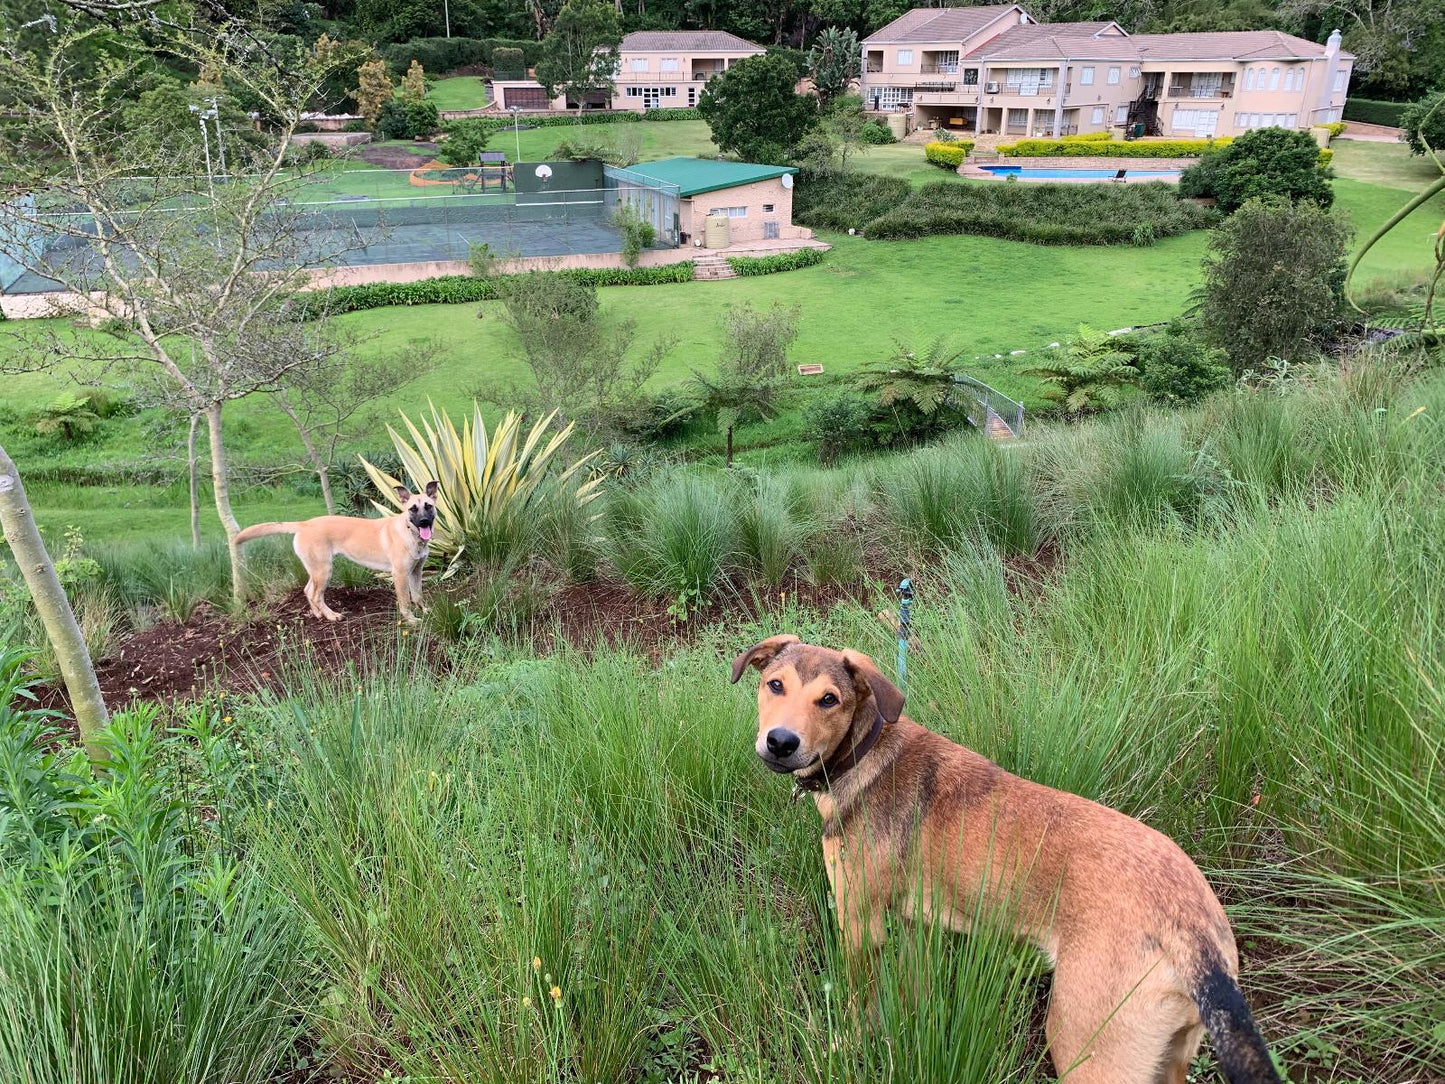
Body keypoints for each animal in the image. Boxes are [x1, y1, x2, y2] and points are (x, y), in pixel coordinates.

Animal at [234, 482, 436, 624]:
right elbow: (405, 601)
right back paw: (332, 616)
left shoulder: (416, 571)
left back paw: (318, 614)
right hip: (324, 570)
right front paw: (411, 620)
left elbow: (418, 595)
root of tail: (304, 524)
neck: (409, 532)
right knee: (316, 595)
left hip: (316, 570)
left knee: (308, 591)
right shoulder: (400, 574)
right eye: (412, 509)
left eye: (429, 506)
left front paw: (426, 612)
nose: (424, 522)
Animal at [734, 633, 1277, 1084]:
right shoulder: (912, 927)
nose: (780, 742)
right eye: (774, 685)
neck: (864, 753)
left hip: (1087, 1050)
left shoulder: (859, 925)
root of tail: (1195, 932)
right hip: (1168, 1059)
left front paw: (844, 1046)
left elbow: (858, 1006)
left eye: (829, 699)